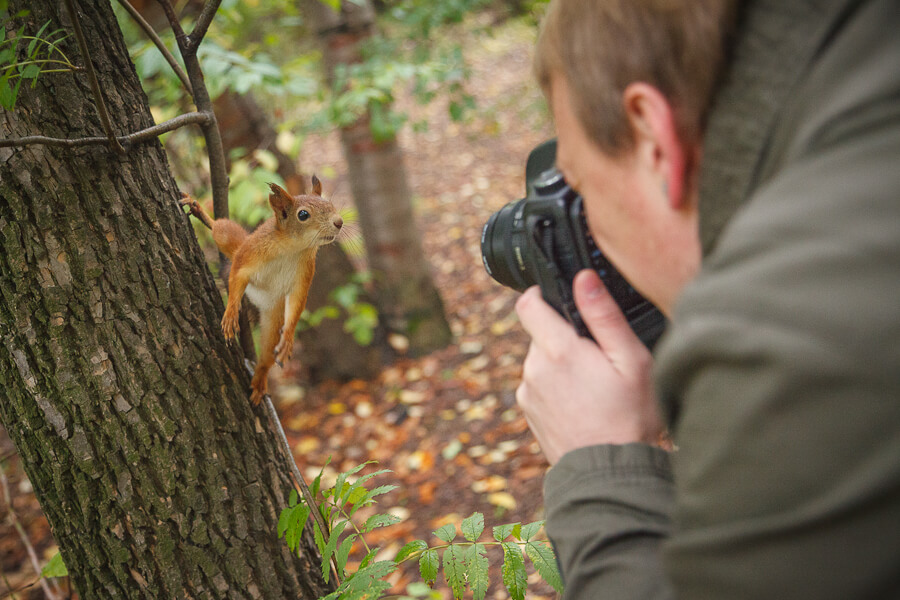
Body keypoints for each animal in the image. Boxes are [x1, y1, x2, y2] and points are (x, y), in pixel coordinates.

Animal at [181, 176, 342, 406]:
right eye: (303, 215)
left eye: (330, 204)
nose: (339, 222)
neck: (293, 248)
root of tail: (257, 300)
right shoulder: (249, 254)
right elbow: (237, 275)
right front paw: (230, 314)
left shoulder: (304, 275)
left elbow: (297, 302)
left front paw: (288, 339)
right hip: (234, 239)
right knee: (220, 229)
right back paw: (199, 211)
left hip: (273, 320)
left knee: (266, 357)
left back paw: (259, 381)